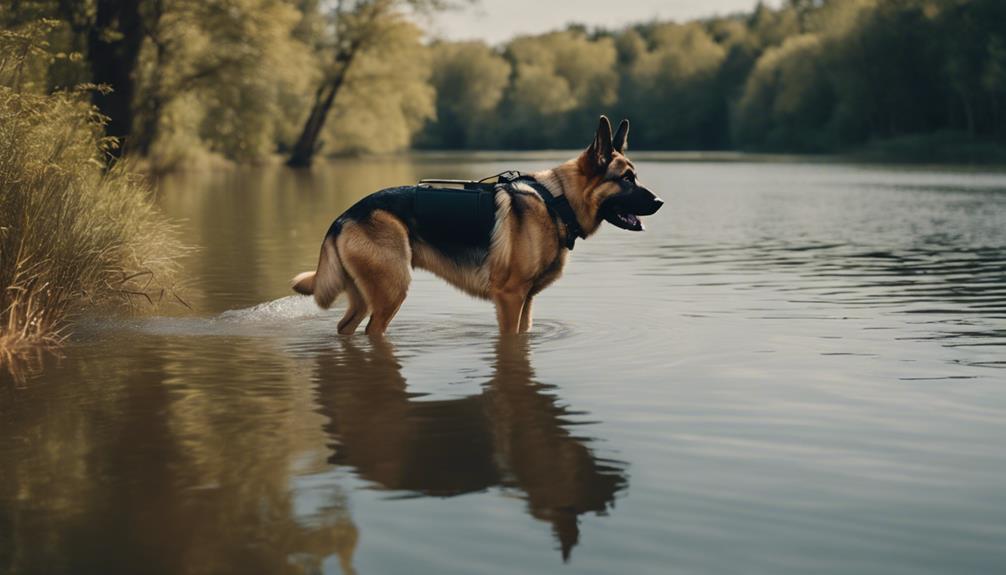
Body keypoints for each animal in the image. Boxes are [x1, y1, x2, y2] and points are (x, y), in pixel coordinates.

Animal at [291, 114, 663, 333]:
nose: (660, 202)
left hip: (366, 296)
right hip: (391, 292)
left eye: (635, 176)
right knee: (373, 332)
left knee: (345, 328)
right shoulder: (510, 298)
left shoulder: (526, 302)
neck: (556, 202)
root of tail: (344, 215)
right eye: (626, 179)